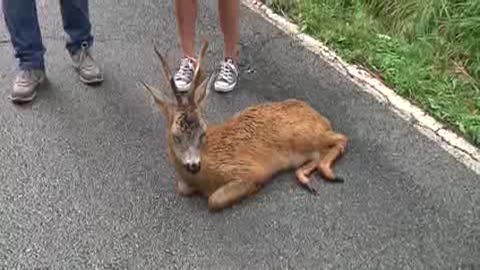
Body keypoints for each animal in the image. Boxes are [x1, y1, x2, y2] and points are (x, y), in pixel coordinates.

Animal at [141, 40, 346, 213]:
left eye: (203, 132)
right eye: (176, 136)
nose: (194, 165)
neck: (204, 176)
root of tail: (321, 118)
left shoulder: (250, 171)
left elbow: (213, 200)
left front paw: (253, 189)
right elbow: (182, 188)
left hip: (304, 134)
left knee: (341, 138)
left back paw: (328, 173)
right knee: (320, 152)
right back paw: (307, 178)